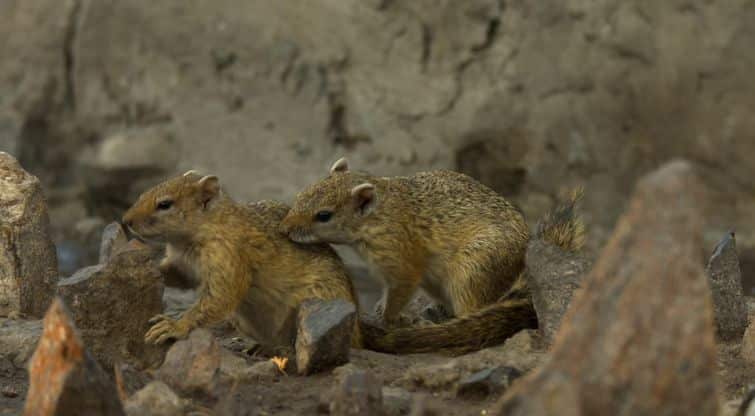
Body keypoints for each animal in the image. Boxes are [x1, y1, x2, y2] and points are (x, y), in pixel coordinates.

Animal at [122, 171, 364, 352]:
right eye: (143, 193)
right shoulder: (183, 264)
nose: (126, 221)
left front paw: (174, 325)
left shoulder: (228, 255)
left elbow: (220, 297)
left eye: (165, 204)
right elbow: (177, 276)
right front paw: (142, 267)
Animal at [280, 158, 584, 352]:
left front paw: (387, 319)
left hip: (471, 273)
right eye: (303, 193)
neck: (380, 213)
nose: (284, 228)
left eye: (324, 215)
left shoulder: (401, 262)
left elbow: (398, 293)